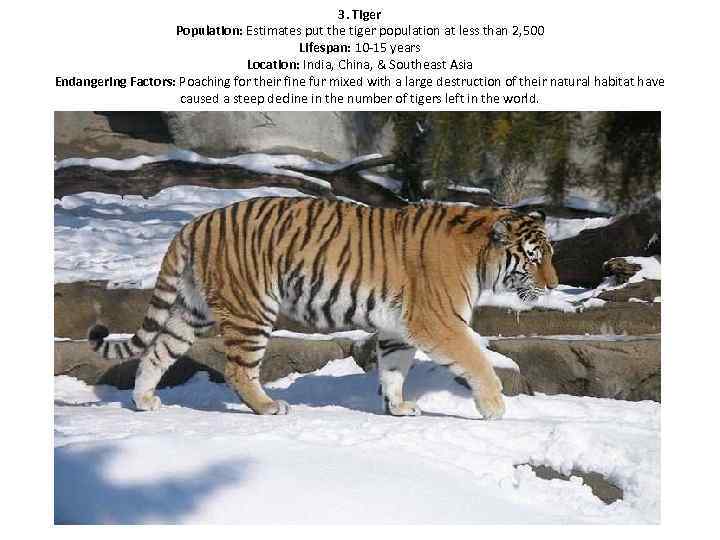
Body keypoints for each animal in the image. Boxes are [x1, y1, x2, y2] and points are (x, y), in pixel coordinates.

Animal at [88, 197, 558, 419]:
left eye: (549, 256)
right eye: (535, 258)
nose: (555, 284)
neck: (480, 256)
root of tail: (196, 221)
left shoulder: (397, 328)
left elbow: (394, 370)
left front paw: (398, 407)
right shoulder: (439, 321)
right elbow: (477, 361)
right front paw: (494, 406)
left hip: (192, 309)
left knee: (156, 352)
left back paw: (144, 400)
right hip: (252, 308)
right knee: (239, 369)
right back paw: (268, 406)